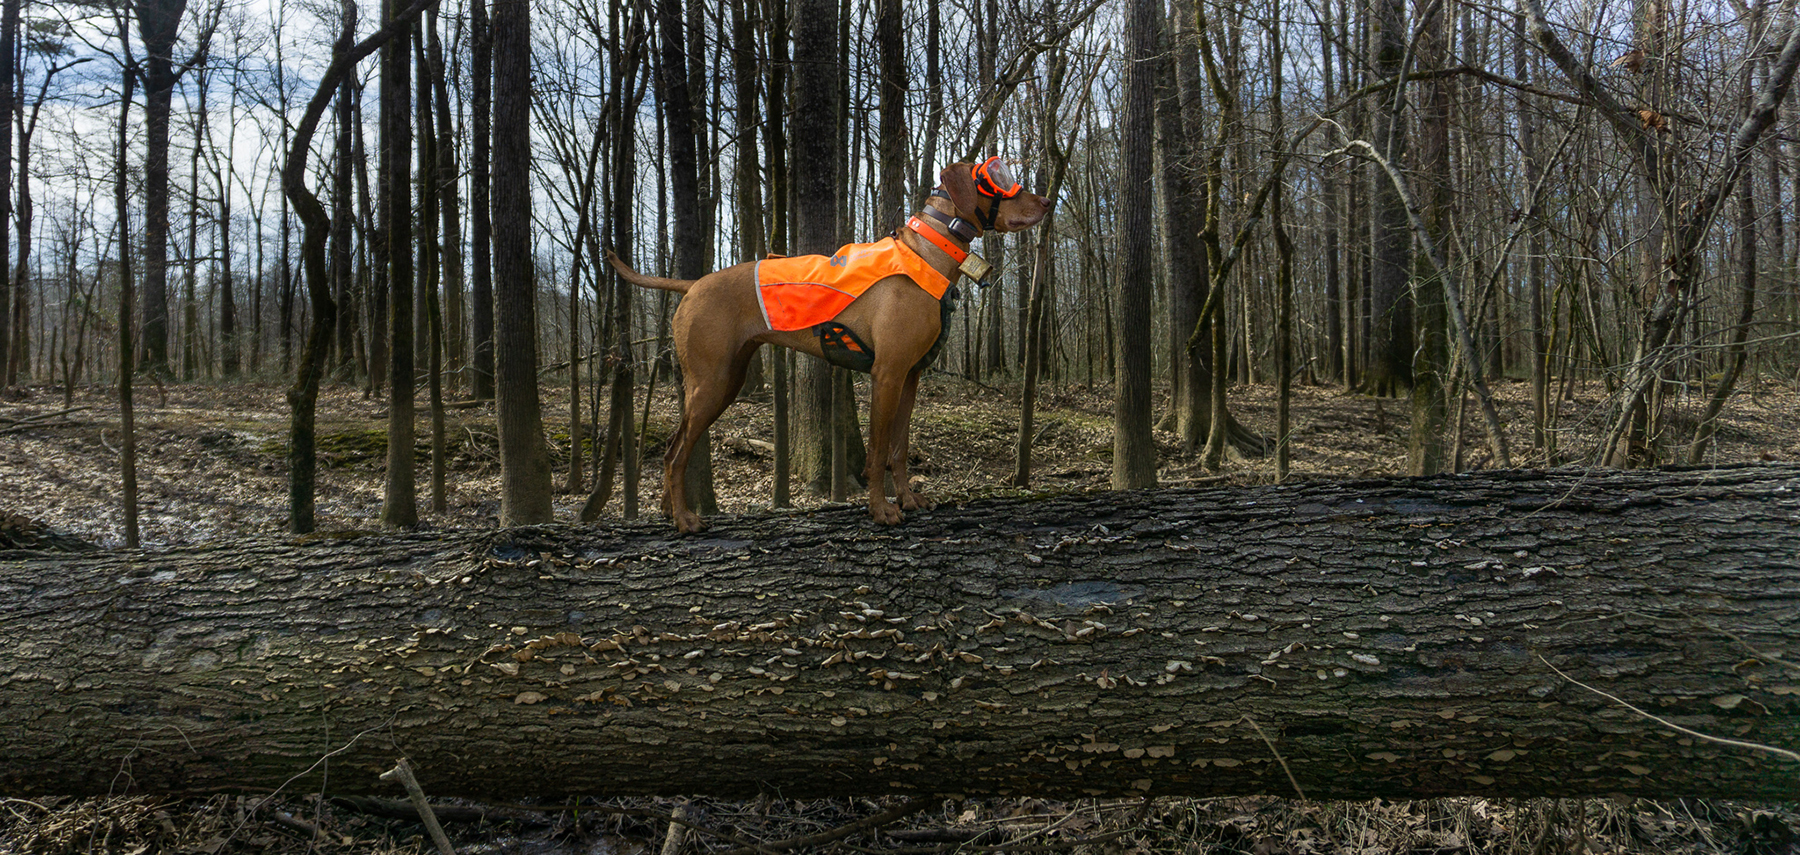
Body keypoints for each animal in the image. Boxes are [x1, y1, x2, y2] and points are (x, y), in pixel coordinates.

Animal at [608, 158, 1051, 532]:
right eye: (1001, 177)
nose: (1047, 201)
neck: (929, 252)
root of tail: (693, 284)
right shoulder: (886, 375)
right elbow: (877, 451)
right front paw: (880, 509)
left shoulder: (909, 377)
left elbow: (900, 447)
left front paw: (908, 498)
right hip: (711, 383)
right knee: (675, 452)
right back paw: (684, 519)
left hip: (726, 382)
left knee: (673, 445)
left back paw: (671, 511)